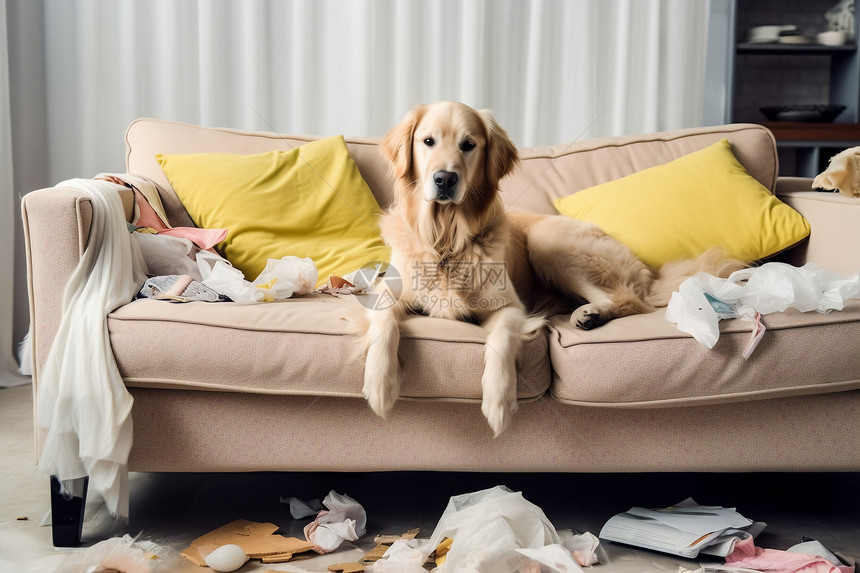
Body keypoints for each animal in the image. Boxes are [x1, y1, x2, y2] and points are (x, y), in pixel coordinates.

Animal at [362, 101, 740, 434]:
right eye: (428, 141)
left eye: (468, 145)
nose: (445, 179)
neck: (446, 242)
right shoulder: (387, 291)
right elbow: (383, 321)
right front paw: (379, 384)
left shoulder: (510, 307)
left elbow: (500, 340)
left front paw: (499, 403)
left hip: (546, 241)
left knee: (630, 300)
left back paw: (589, 314)